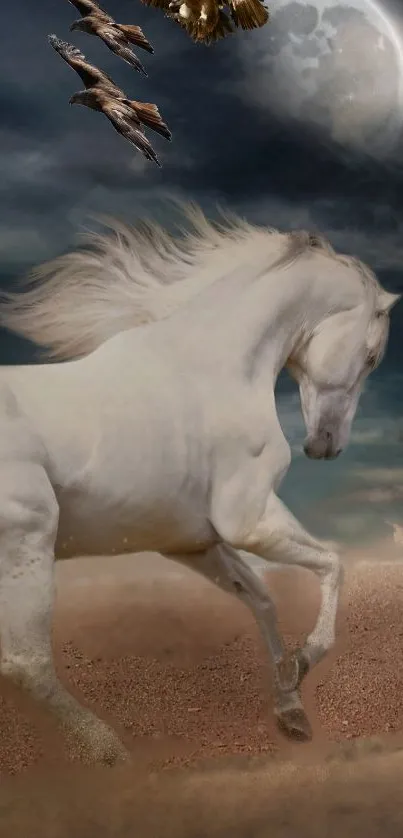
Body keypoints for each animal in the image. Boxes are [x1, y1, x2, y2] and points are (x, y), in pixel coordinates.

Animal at [0, 207, 400, 764]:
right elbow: (333, 564)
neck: (214, 368)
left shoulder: (195, 542)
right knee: (27, 662)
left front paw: (290, 709)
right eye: (371, 357)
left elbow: (262, 599)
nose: (326, 445)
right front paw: (303, 663)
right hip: (28, 544)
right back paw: (111, 752)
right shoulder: (247, 521)